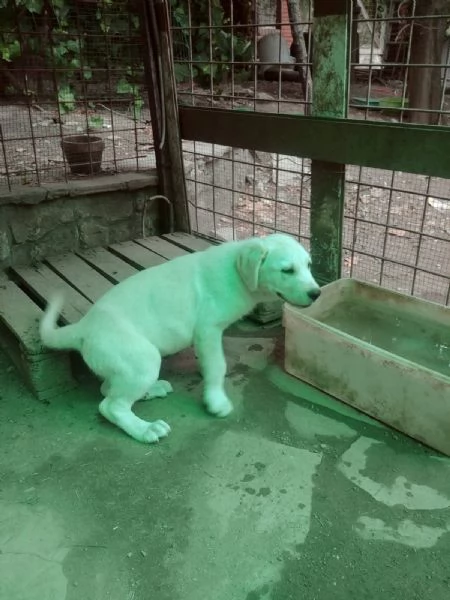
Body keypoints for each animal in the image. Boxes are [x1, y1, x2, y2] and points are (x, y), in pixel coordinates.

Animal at [38, 232, 320, 442]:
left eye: (308, 265)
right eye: (287, 270)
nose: (316, 293)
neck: (237, 274)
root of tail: (83, 327)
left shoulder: (204, 335)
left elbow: (208, 362)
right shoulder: (208, 329)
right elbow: (217, 365)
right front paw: (215, 400)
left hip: (127, 366)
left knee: (108, 389)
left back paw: (150, 391)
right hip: (142, 358)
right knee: (110, 405)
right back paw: (145, 429)